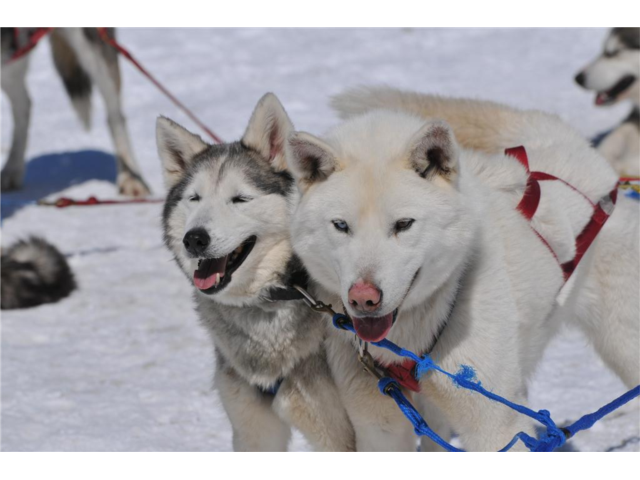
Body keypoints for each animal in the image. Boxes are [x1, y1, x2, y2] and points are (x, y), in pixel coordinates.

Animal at [284, 88, 640, 452]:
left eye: (403, 224)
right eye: (341, 225)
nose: (363, 297)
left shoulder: (495, 426)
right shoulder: (379, 425)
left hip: (623, 341)